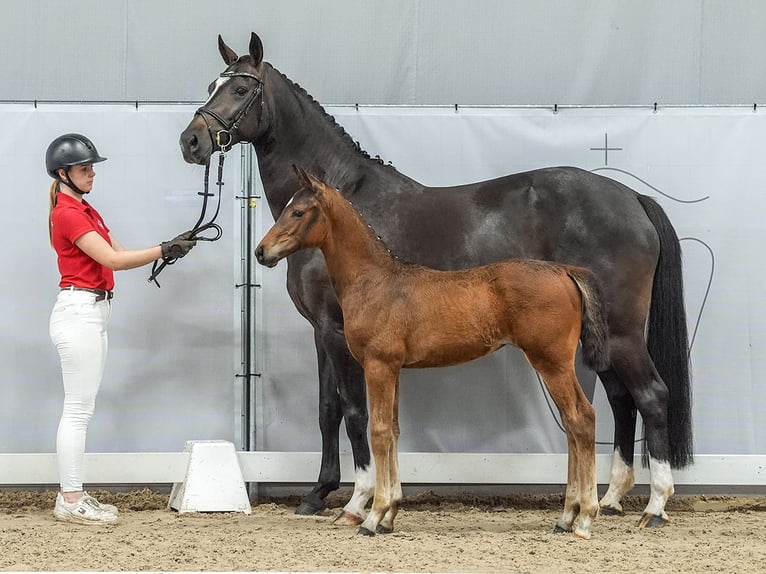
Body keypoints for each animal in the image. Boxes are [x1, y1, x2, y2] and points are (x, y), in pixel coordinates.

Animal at [258, 168, 612, 540]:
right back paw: (566, 517)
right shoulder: (394, 369)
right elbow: (394, 431)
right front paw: (389, 516)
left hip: (552, 362)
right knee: (572, 425)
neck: (375, 281)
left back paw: (584, 518)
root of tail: (565, 271)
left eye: (298, 212)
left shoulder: (377, 366)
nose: (261, 252)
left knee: (581, 420)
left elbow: (378, 432)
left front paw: (372, 517)